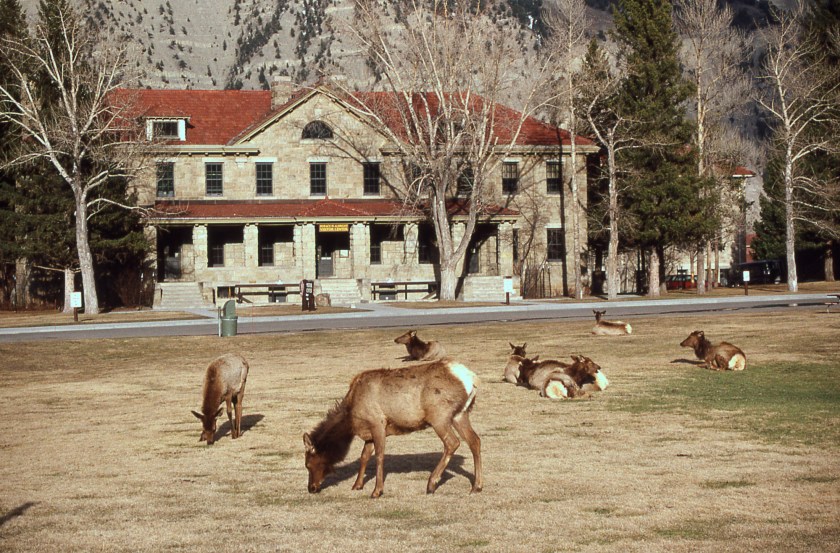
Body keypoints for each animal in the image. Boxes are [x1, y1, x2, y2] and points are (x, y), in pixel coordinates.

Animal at [303, 359, 482, 498]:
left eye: (308, 464)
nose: (311, 488)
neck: (352, 419)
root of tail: (470, 379)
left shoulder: (378, 423)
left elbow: (379, 456)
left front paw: (376, 491)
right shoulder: (368, 432)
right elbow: (364, 456)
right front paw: (357, 485)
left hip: (439, 415)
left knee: (452, 442)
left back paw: (431, 484)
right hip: (461, 414)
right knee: (475, 441)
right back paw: (476, 486)